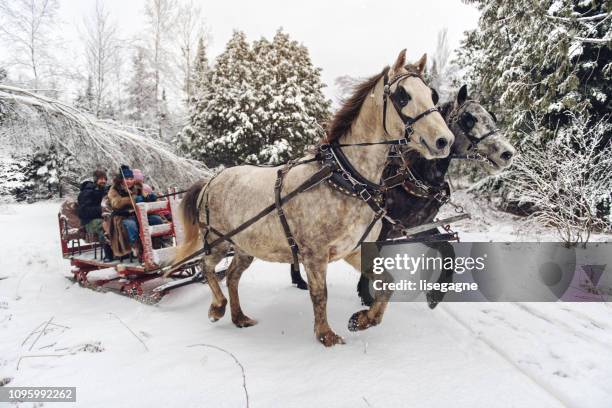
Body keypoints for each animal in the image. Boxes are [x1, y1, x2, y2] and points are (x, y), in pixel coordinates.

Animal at [172, 49, 454, 346]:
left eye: (432, 95)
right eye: (402, 95)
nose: (444, 141)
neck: (345, 179)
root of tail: (211, 180)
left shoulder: (354, 250)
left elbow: (387, 283)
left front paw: (363, 319)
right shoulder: (315, 255)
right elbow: (320, 294)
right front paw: (326, 335)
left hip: (245, 247)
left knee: (232, 276)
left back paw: (239, 317)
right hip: (217, 242)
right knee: (206, 267)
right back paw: (218, 307)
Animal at [350, 85, 516, 310]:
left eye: (492, 117)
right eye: (468, 118)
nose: (508, 153)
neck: (414, 177)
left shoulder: (420, 228)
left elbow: (448, 250)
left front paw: (436, 294)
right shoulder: (382, 226)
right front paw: (367, 296)